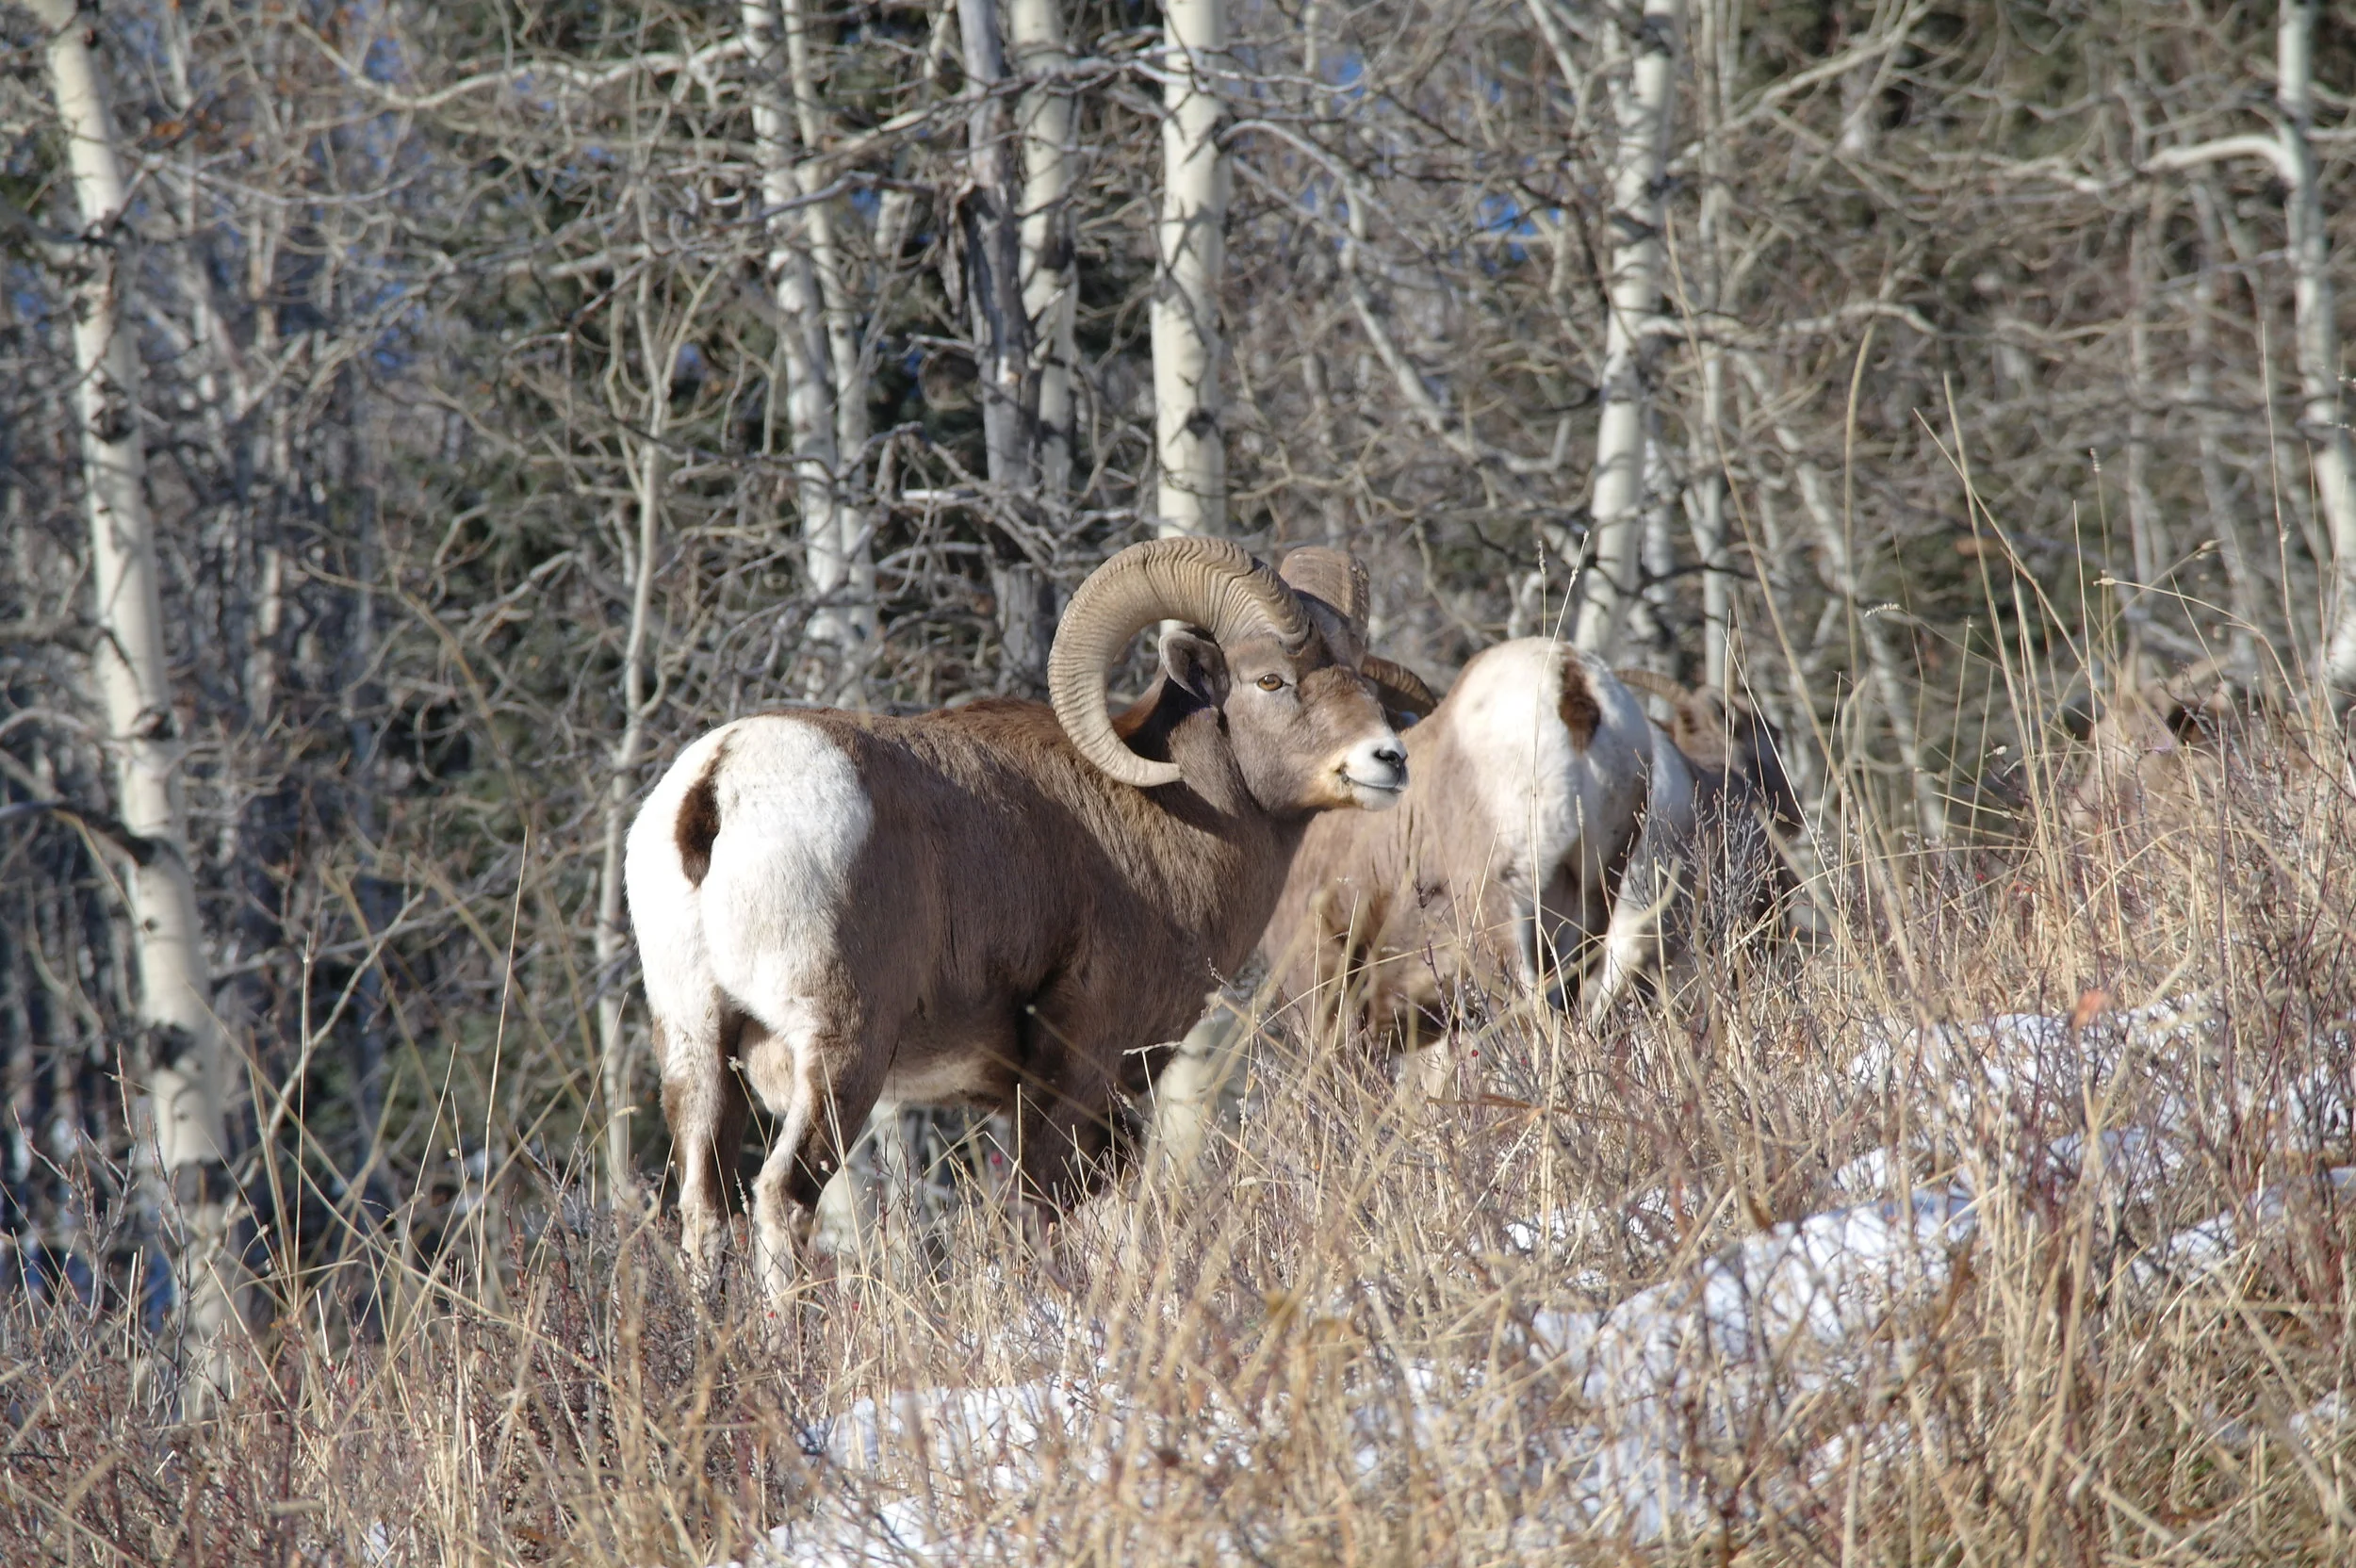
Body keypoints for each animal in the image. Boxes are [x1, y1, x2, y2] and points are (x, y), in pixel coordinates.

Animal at [624, 536, 1407, 1300]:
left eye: (1363, 683)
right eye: (1270, 680)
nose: (1388, 759)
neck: (1171, 812)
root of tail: (716, 787)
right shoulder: (1077, 1066)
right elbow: (1046, 1204)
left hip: (696, 1045)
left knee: (704, 1208)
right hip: (841, 1051)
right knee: (784, 1194)